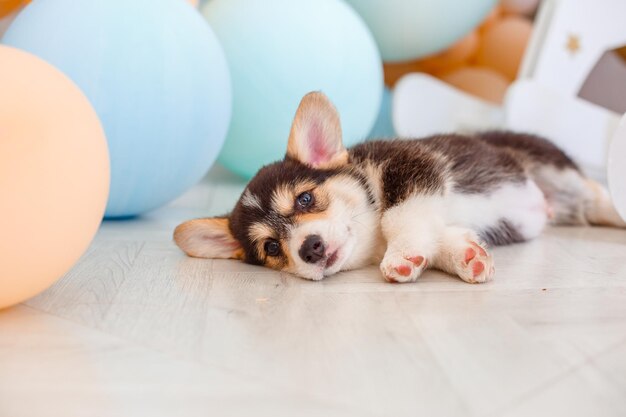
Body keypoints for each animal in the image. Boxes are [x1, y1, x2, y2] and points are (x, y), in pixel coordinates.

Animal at [172, 92, 624, 282]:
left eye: (305, 199)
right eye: (269, 247)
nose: (310, 248)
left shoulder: (412, 167)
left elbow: (399, 217)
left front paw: (402, 255)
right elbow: (437, 236)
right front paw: (465, 256)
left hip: (554, 167)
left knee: (600, 196)